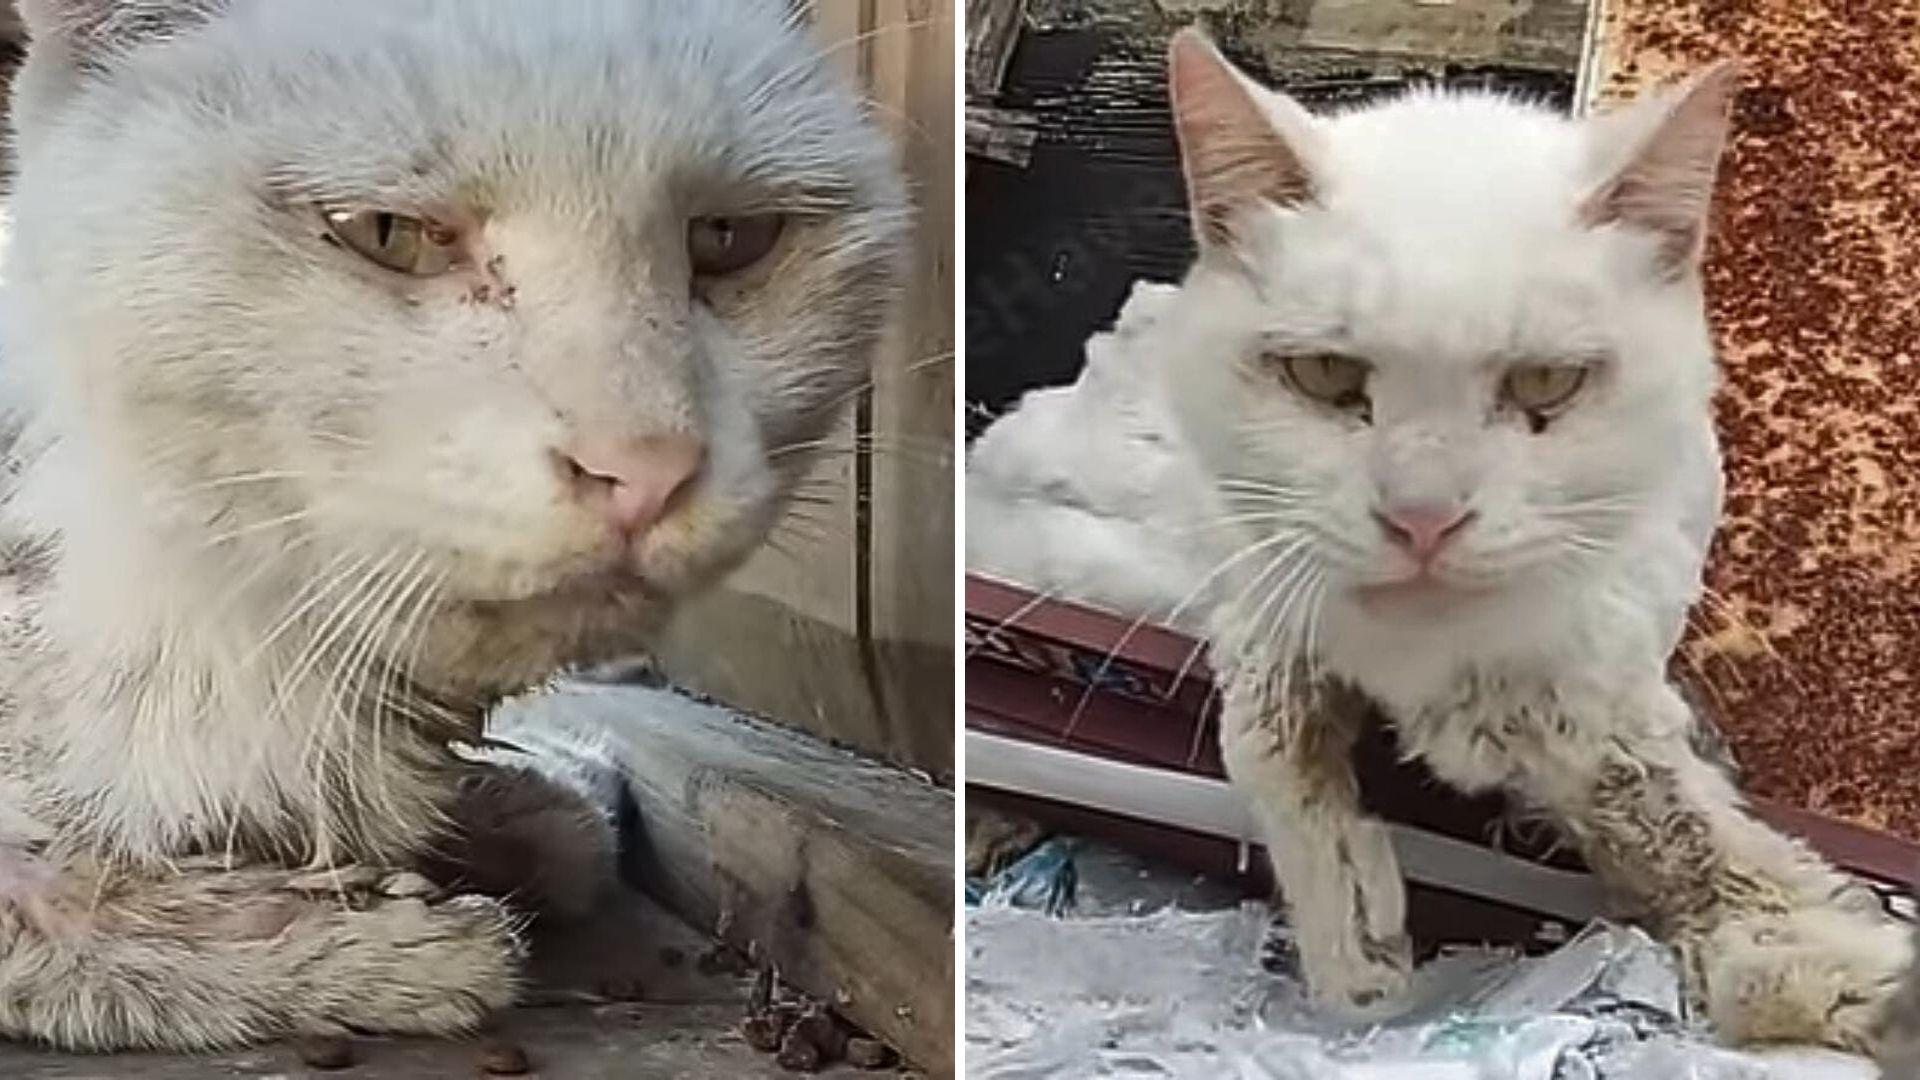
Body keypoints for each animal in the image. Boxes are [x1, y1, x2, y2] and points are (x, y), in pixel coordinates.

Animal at [0, 0, 910, 1045]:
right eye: (389, 233)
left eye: (731, 236)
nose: (645, 467)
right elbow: (59, 893)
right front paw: (373, 943)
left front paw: (506, 809)